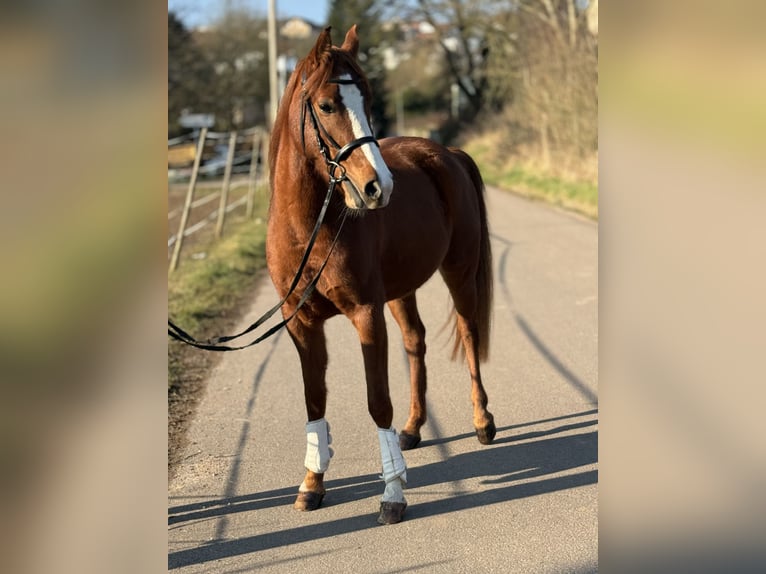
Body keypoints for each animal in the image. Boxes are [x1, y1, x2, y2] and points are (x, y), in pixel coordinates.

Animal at [266, 25, 498, 528]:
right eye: (327, 105)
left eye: (369, 99)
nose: (378, 188)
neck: (312, 227)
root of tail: (447, 153)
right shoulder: (301, 324)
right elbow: (315, 400)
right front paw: (312, 485)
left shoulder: (365, 314)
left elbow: (377, 401)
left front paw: (392, 494)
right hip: (401, 290)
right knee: (416, 340)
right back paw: (412, 428)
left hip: (459, 273)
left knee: (469, 334)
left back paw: (482, 422)